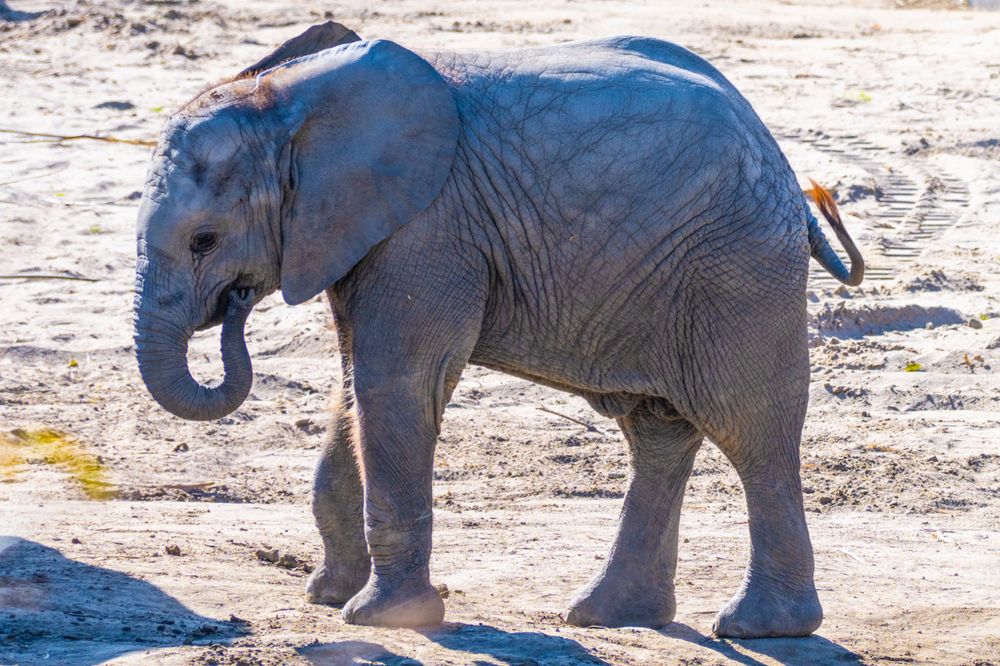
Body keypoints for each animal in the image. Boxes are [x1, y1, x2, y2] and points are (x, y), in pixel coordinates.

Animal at [132, 21, 864, 636]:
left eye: (204, 240)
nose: (235, 304)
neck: (288, 101)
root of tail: (793, 183)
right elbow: (351, 384)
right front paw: (327, 596)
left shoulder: (430, 228)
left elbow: (395, 383)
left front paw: (380, 618)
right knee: (657, 432)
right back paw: (610, 615)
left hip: (737, 269)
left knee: (750, 430)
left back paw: (760, 628)